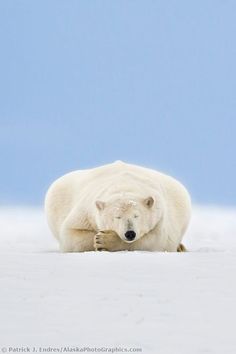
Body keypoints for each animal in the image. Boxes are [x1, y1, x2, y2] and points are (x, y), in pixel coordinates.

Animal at [44, 160, 192, 252]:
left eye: (136, 216)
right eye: (117, 217)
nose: (130, 233)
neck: (124, 185)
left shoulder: (159, 214)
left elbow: (158, 240)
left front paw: (105, 240)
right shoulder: (86, 211)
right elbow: (70, 234)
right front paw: (97, 238)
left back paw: (181, 247)